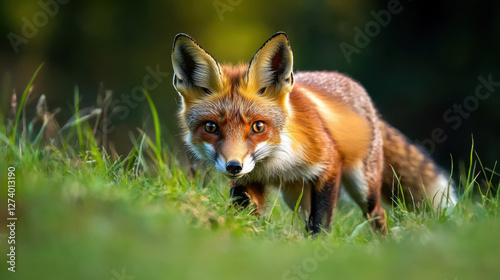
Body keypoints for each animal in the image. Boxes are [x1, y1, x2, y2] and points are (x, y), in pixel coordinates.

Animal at [171, 31, 458, 234]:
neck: (274, 164)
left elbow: (321, 222)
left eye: (258, 127)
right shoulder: (249, 183)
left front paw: (319, 246)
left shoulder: (329, 166)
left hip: (363, 186)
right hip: (294, 196)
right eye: (211, 127)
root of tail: (362, 94)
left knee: (378, 214)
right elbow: (246, 211)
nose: (233, 166)